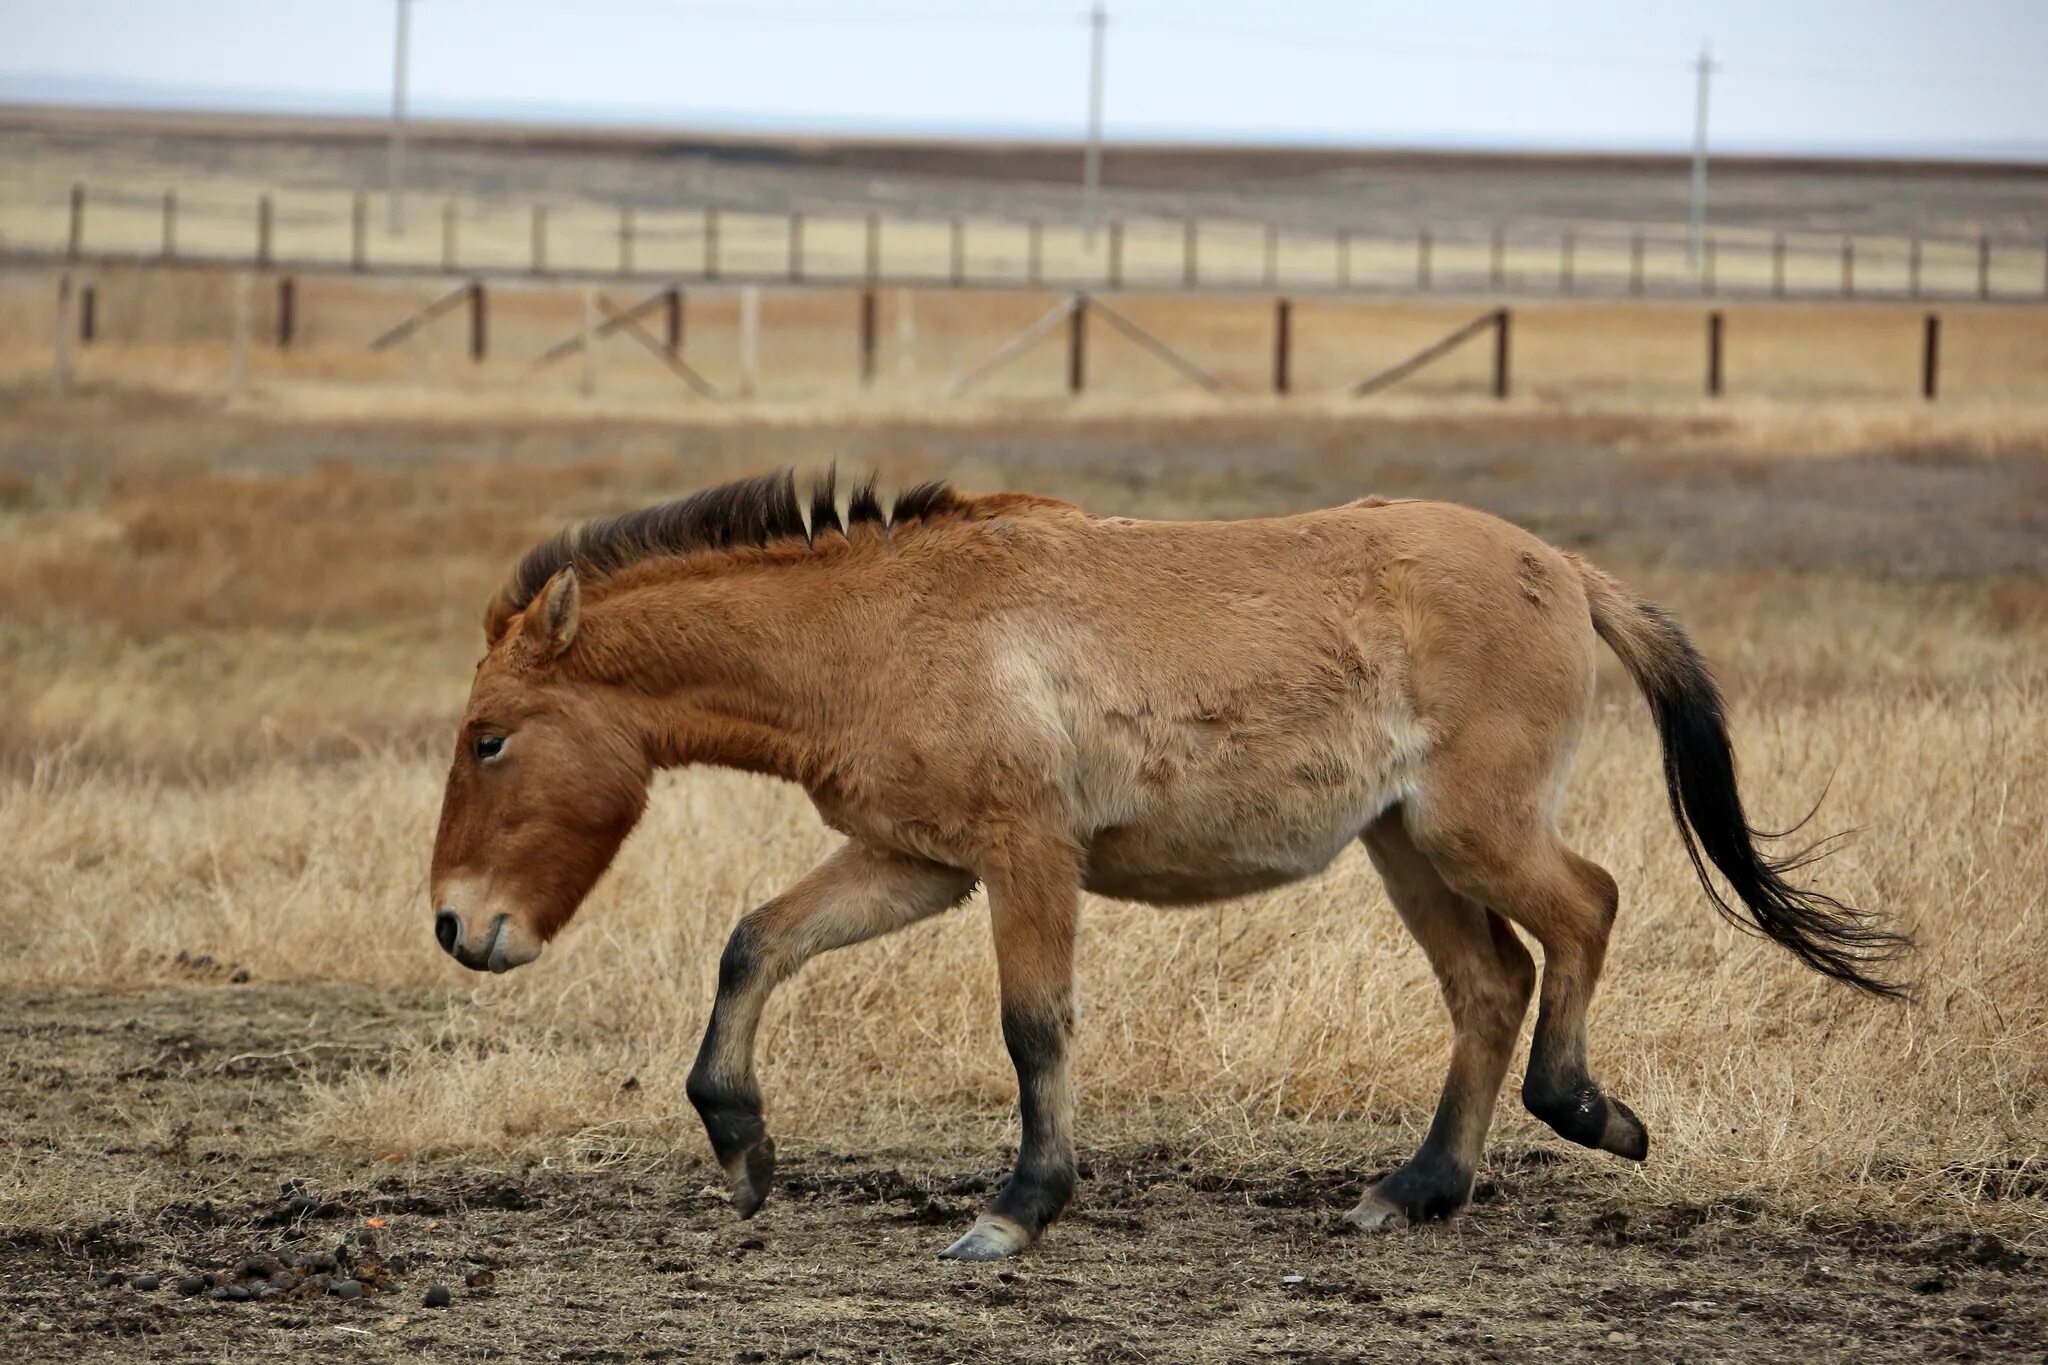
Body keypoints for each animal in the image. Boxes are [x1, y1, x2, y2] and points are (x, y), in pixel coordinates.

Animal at [423, 470, 1908, 1260]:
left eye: (489, 738)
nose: (453, 926)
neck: (879, 629)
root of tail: (1563, 569)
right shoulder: (911, 861)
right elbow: (756, 942)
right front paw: (740, 1146)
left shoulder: (1024, 857)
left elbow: (1033, 1027)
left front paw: (1017, 1210)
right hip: (1407, 850)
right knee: (1488, 985)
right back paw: (1416, 1189)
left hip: (1468, 832)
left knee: (1586, 911)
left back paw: (1587, 1111)